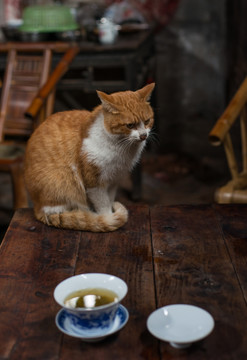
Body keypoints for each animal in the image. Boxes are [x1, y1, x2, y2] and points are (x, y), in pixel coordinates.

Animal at [24, 83, 154, 232]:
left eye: (147, 121)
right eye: (130, 125)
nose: (143, 135)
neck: (122, 148)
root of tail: (37, 207)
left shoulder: (113, 180)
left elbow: (109, 199)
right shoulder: (94, 183)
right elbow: (103, 205)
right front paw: (107, 218)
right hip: (62, 184)